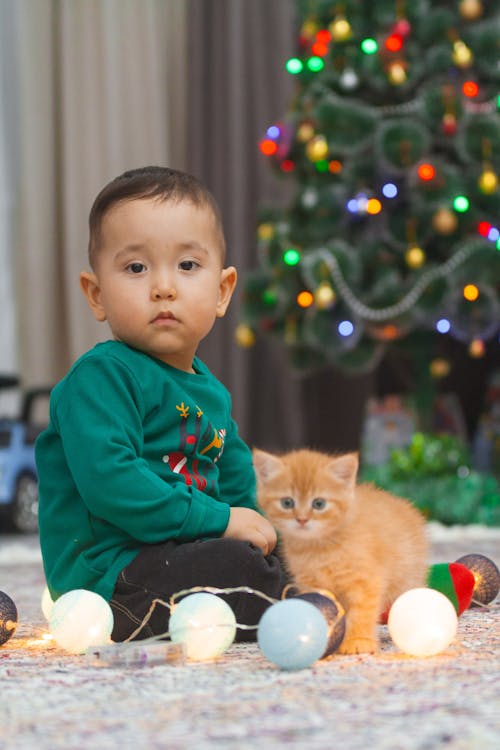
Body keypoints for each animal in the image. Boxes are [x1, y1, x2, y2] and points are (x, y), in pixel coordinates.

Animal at [256, 450, 428, 656]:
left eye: (319, 504)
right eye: (287, 502)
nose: (302, 519)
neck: (319, 549)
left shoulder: (366, 581)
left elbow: (361, 612)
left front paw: (358, 641)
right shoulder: (310, 582)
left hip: (407, 579)